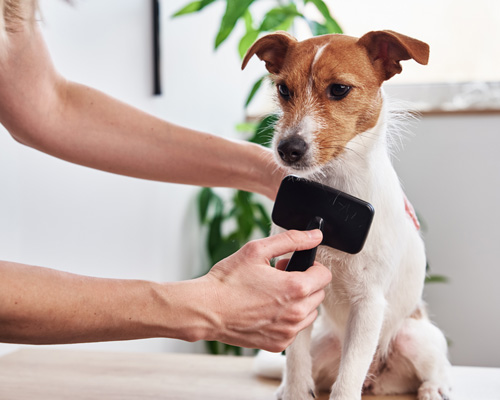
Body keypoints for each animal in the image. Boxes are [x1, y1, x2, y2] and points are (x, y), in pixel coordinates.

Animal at [242, 31, 454, 400]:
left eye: (339, 89)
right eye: (283, 89)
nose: (287, 149)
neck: (333, 192)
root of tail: (378, 379)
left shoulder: (368, 303)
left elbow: (347, 380)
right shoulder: (297, 288)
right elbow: (295, 362)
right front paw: (294, 390)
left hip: (416, 337)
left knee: (435, 366)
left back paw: (436, 386)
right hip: (323, 343)